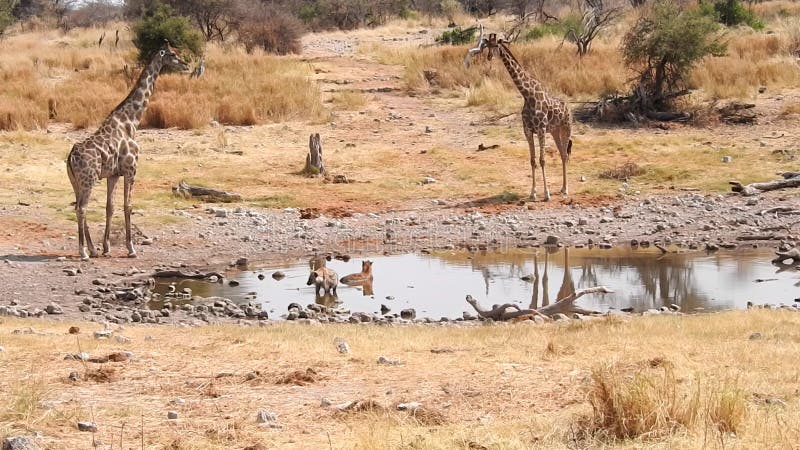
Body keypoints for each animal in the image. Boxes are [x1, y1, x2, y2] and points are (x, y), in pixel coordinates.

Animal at [66, 43, 190, 260]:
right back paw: (83, 252)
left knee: (77, 206)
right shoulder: (131, 169)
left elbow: (110, 207)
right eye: (173, 54)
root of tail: (71, 157)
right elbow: (128, 206)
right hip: (89, 180)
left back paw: (92, 249)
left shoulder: (113, 174)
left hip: (76, 181)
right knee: (81, 208)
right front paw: (131, 248)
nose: (185, 64)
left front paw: (106, 247)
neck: (131, 122)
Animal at [466, 29, 572, 200]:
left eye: (496, 45)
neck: (528, 95)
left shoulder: (541, 129)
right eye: (487, 45)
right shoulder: (528, 130)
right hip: (555, 131)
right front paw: (533, 193)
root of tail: (568, 107)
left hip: (566, 128)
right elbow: (532, 160)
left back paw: (566, 189)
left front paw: (546, 194)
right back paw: (562, 188)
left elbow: (542, 160)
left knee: (565, 155)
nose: (489, 56)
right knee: (563, 153)